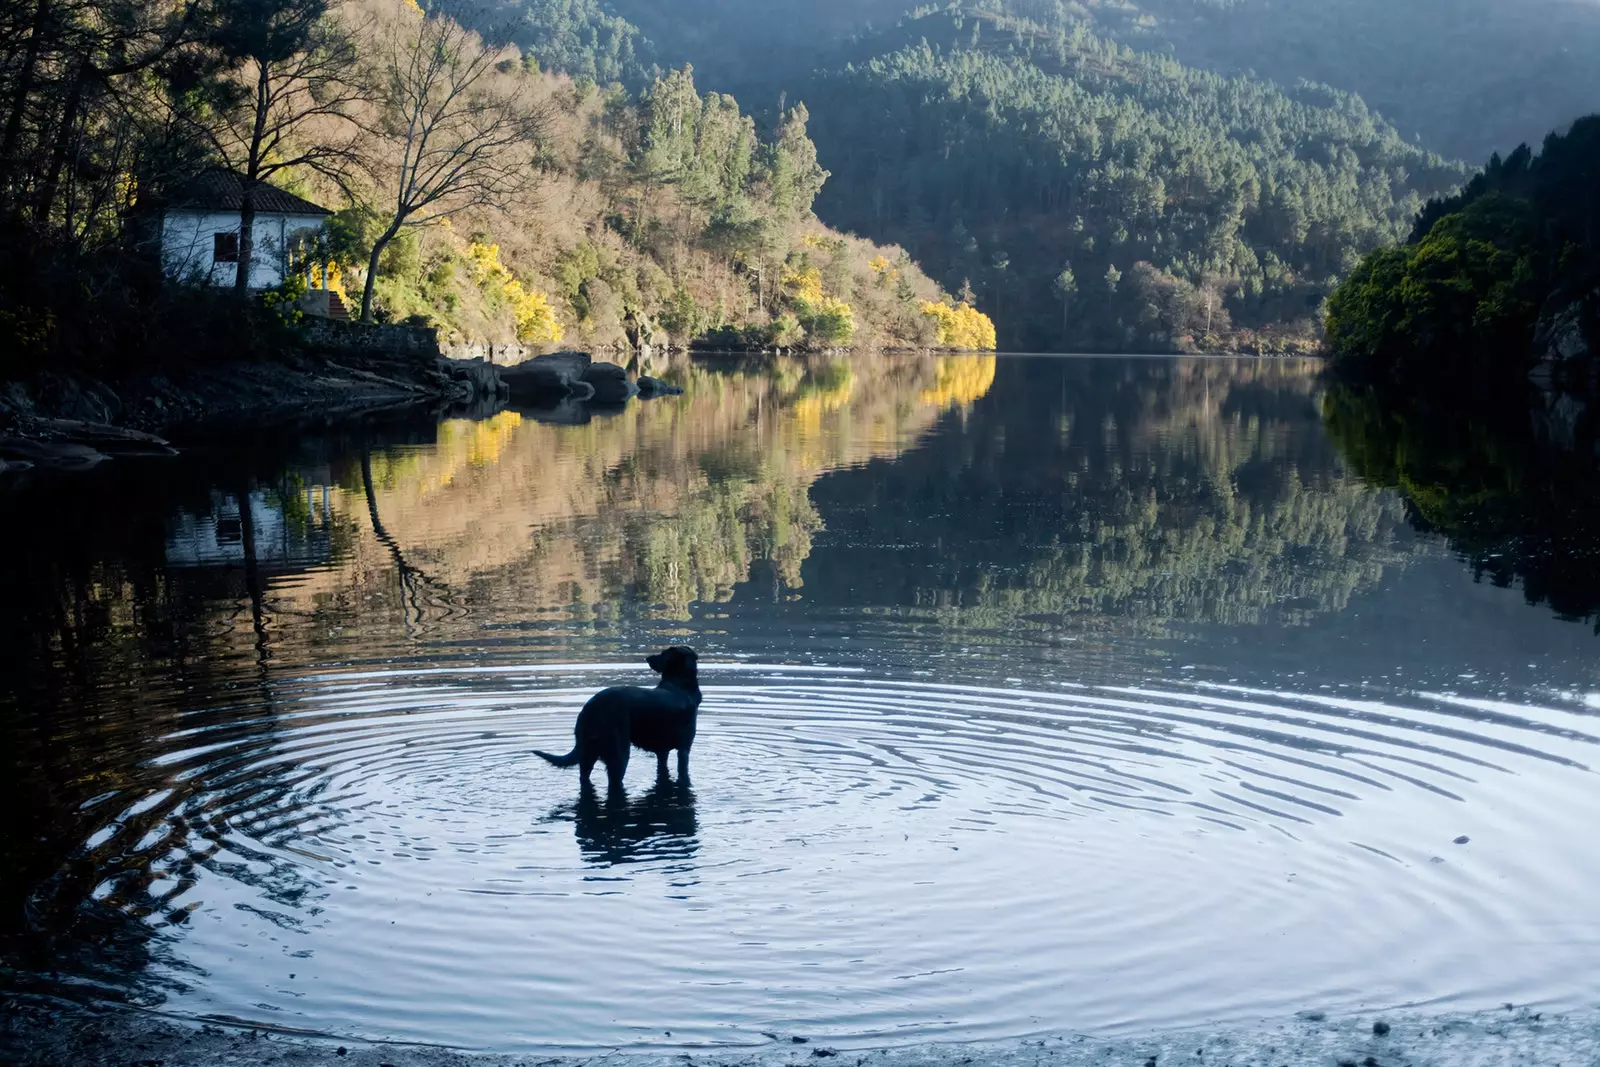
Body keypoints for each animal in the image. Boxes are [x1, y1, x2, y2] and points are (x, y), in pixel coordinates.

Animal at [537, 646, 700, 790]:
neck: (679, 684)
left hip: (588, 754)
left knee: (584, 777)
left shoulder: (663, 752)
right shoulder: (684, 750)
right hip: (619, 754)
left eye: (663, 653)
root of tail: (591, 707)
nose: (647, 658)